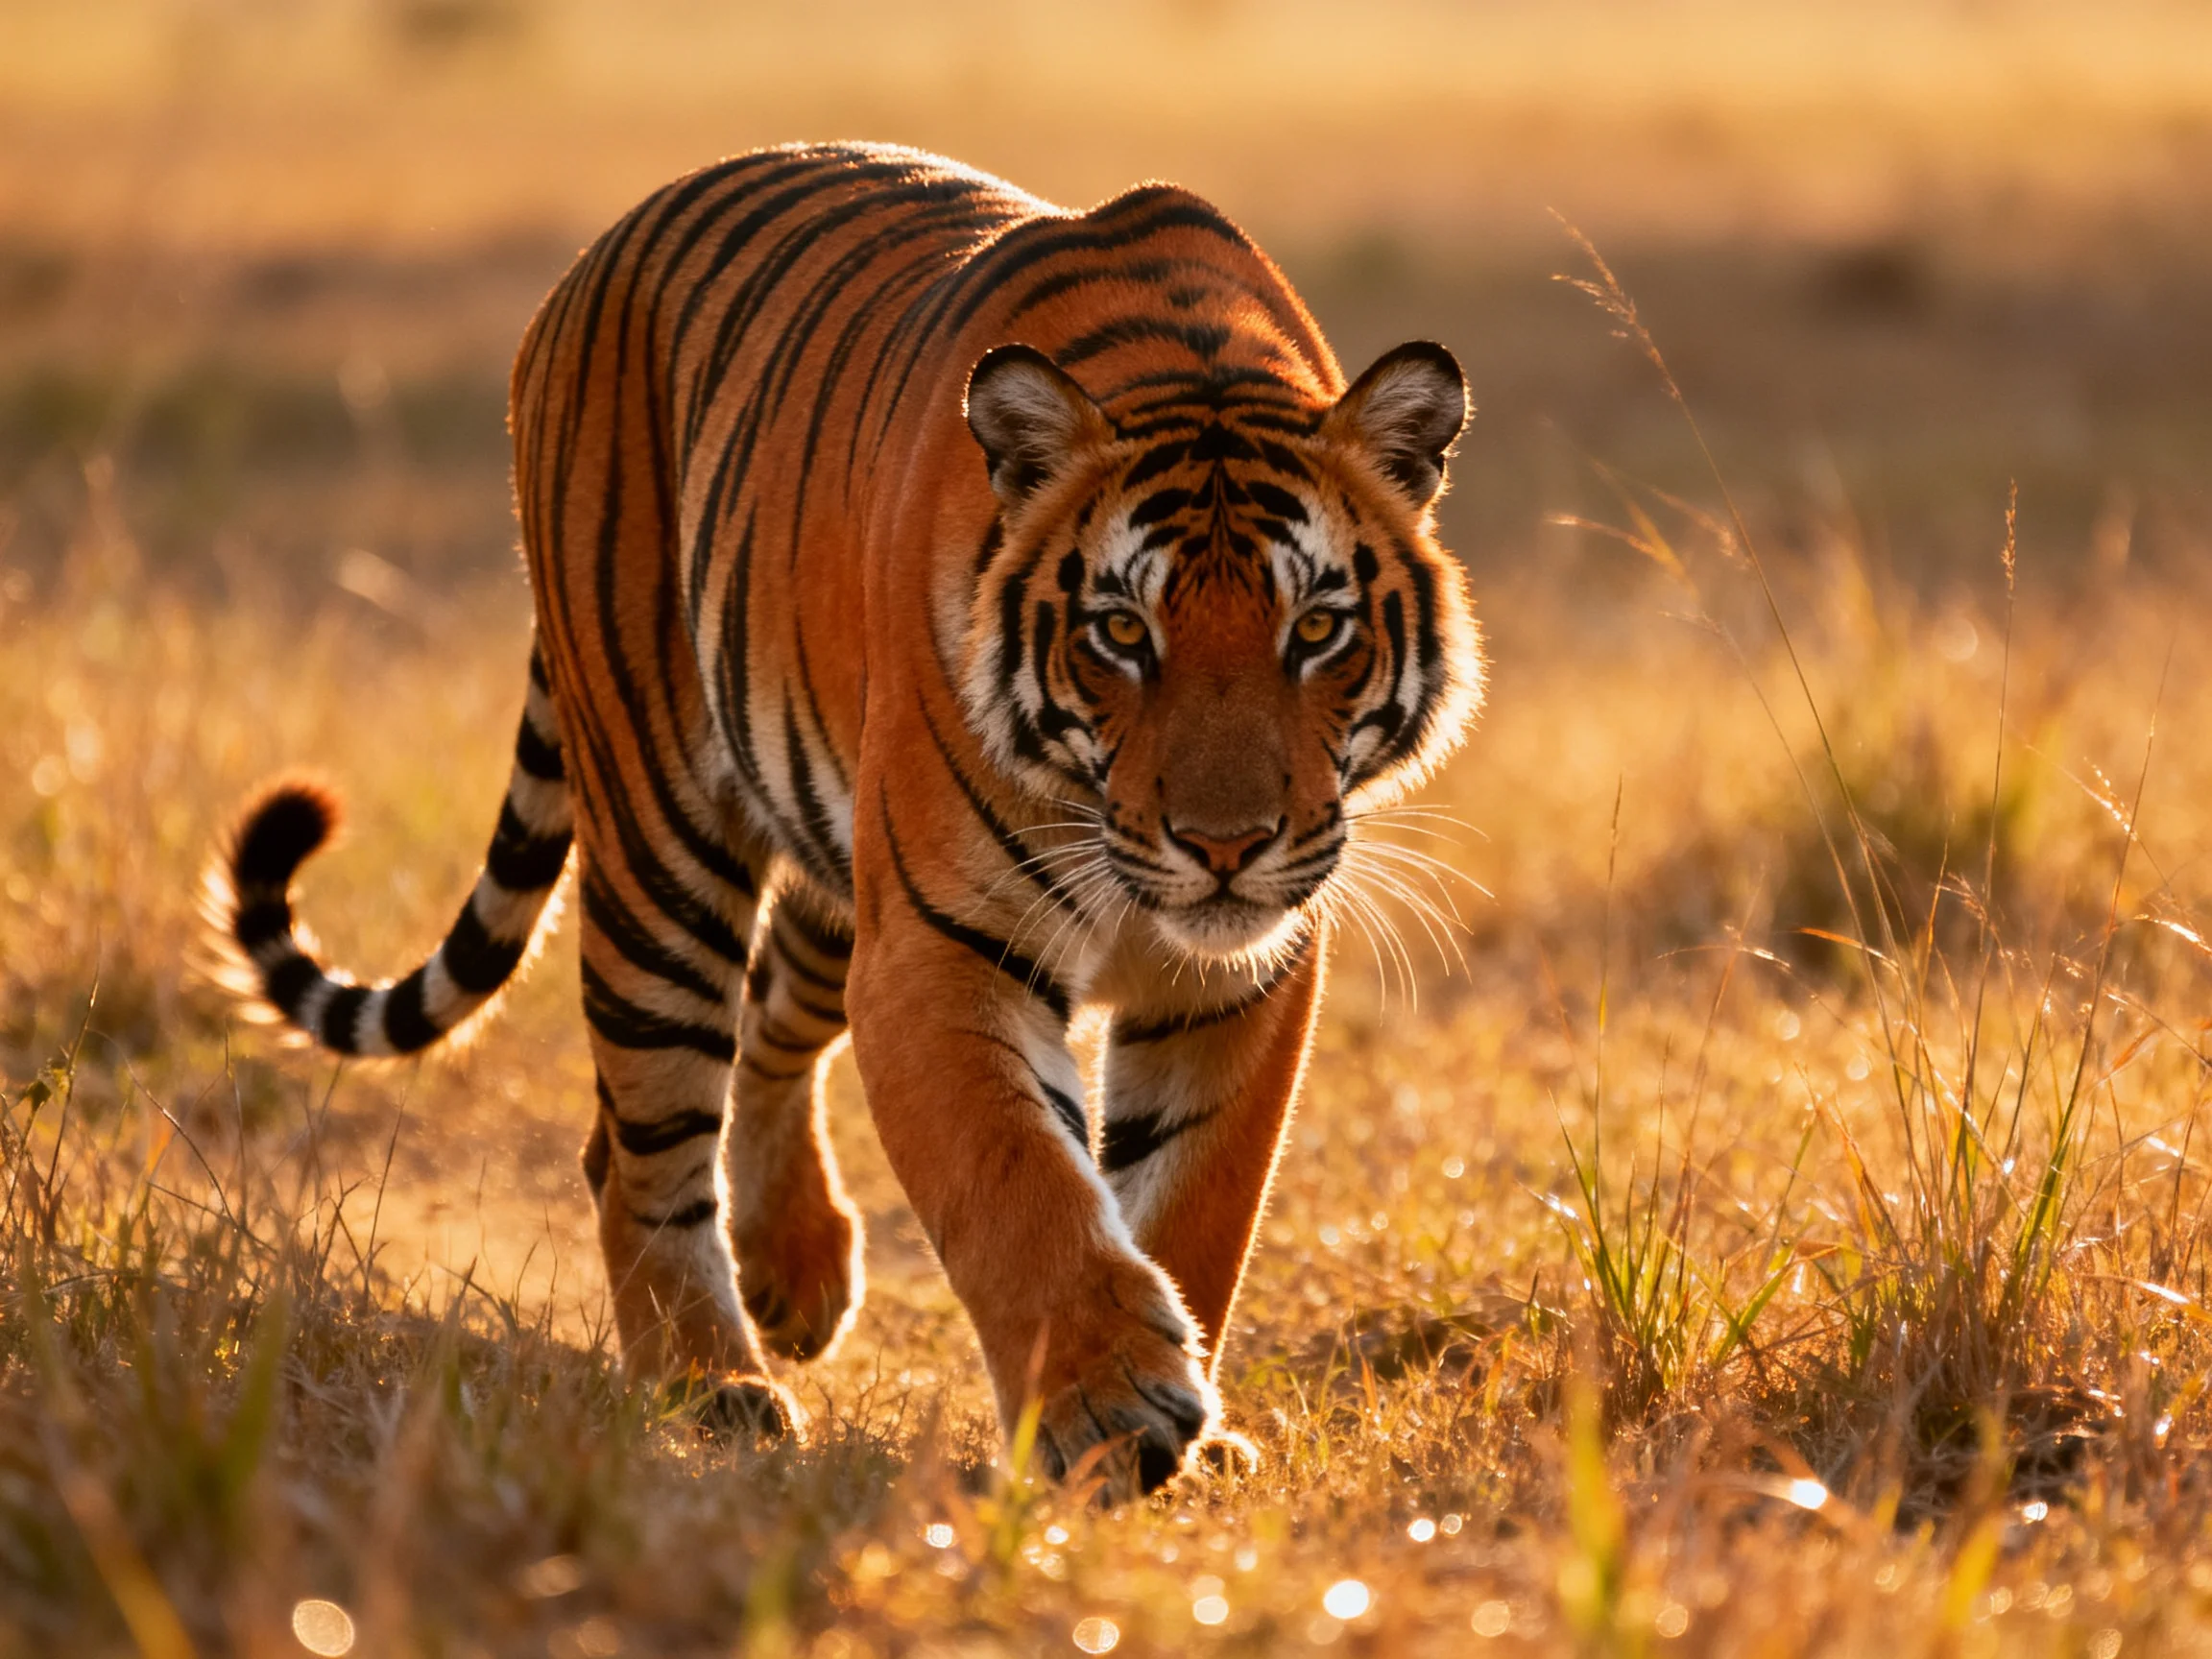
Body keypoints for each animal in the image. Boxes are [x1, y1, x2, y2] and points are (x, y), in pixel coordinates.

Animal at [212, 142, 1483, 1501]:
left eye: (1319, 630)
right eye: (1120, 633)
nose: (1226, 847)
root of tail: (597, 254)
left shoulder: (1236, 980)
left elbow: (1195, 1203)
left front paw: (1187, 1420)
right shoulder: (941, 951)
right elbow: (1020, 1183)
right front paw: (1112, 1403)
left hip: (833, 859)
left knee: (768, 1023)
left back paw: (796, 1275)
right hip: (664, 842)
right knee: (642, 1137)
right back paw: (710, 1386)